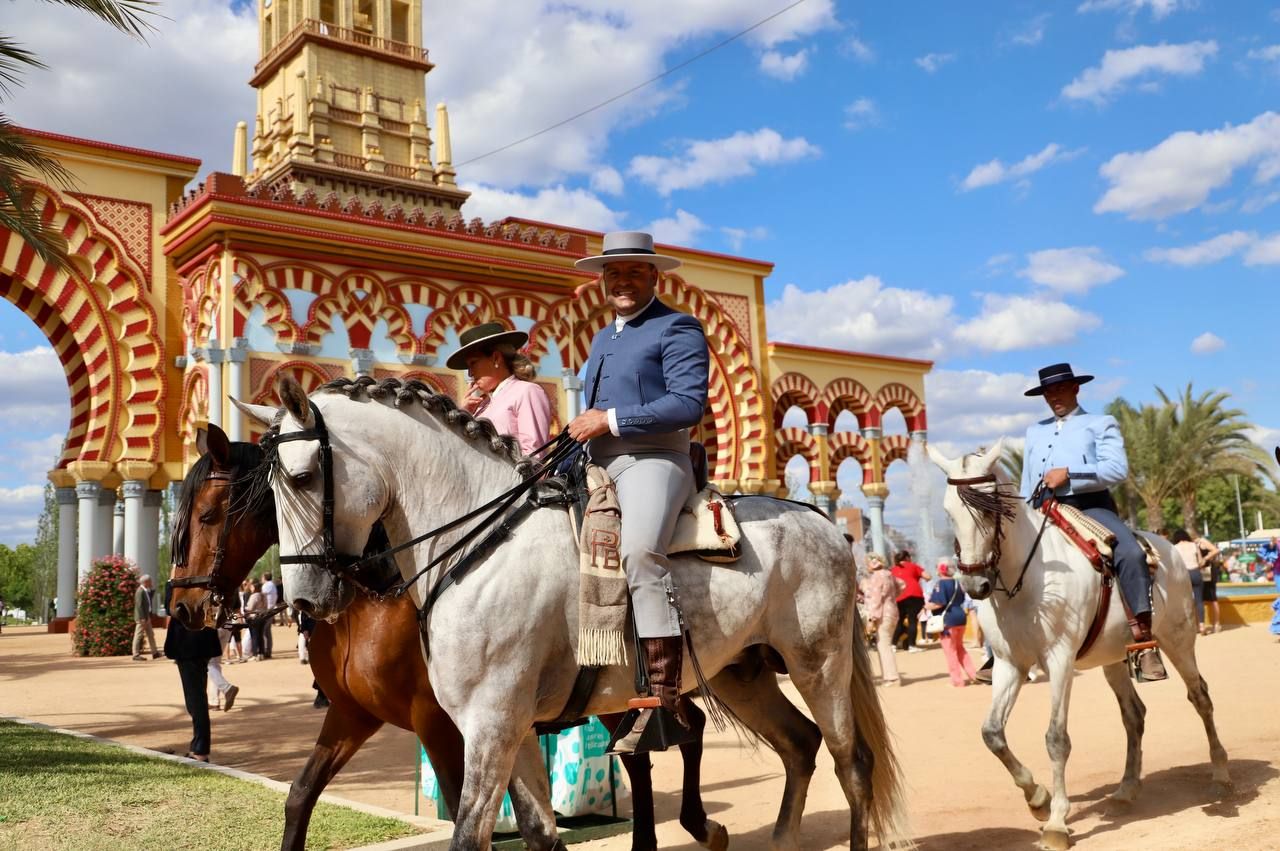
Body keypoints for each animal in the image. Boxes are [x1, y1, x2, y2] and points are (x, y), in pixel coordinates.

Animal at [170, 427, 732, 849]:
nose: (182, 606)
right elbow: (300, 796)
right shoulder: (352, 714)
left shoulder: (440, 725)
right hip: (613, 691)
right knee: (660, 743)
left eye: (208, 515)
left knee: (667, 739)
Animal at [931, 440, 1228, 844]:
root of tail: (1168, 550)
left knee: (1200, 698)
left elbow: (1056, 738)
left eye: (990, 508)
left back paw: (1221, 775)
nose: (975, 585)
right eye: (949, 512)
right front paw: (1037, 798)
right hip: (1114, 659)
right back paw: (1126, 790)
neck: (1030, 578)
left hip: (1178, 642)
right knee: (1134, 716)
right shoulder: (1010, 665)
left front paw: (1057, 820)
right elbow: (992, 733)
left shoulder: (1059, 661)